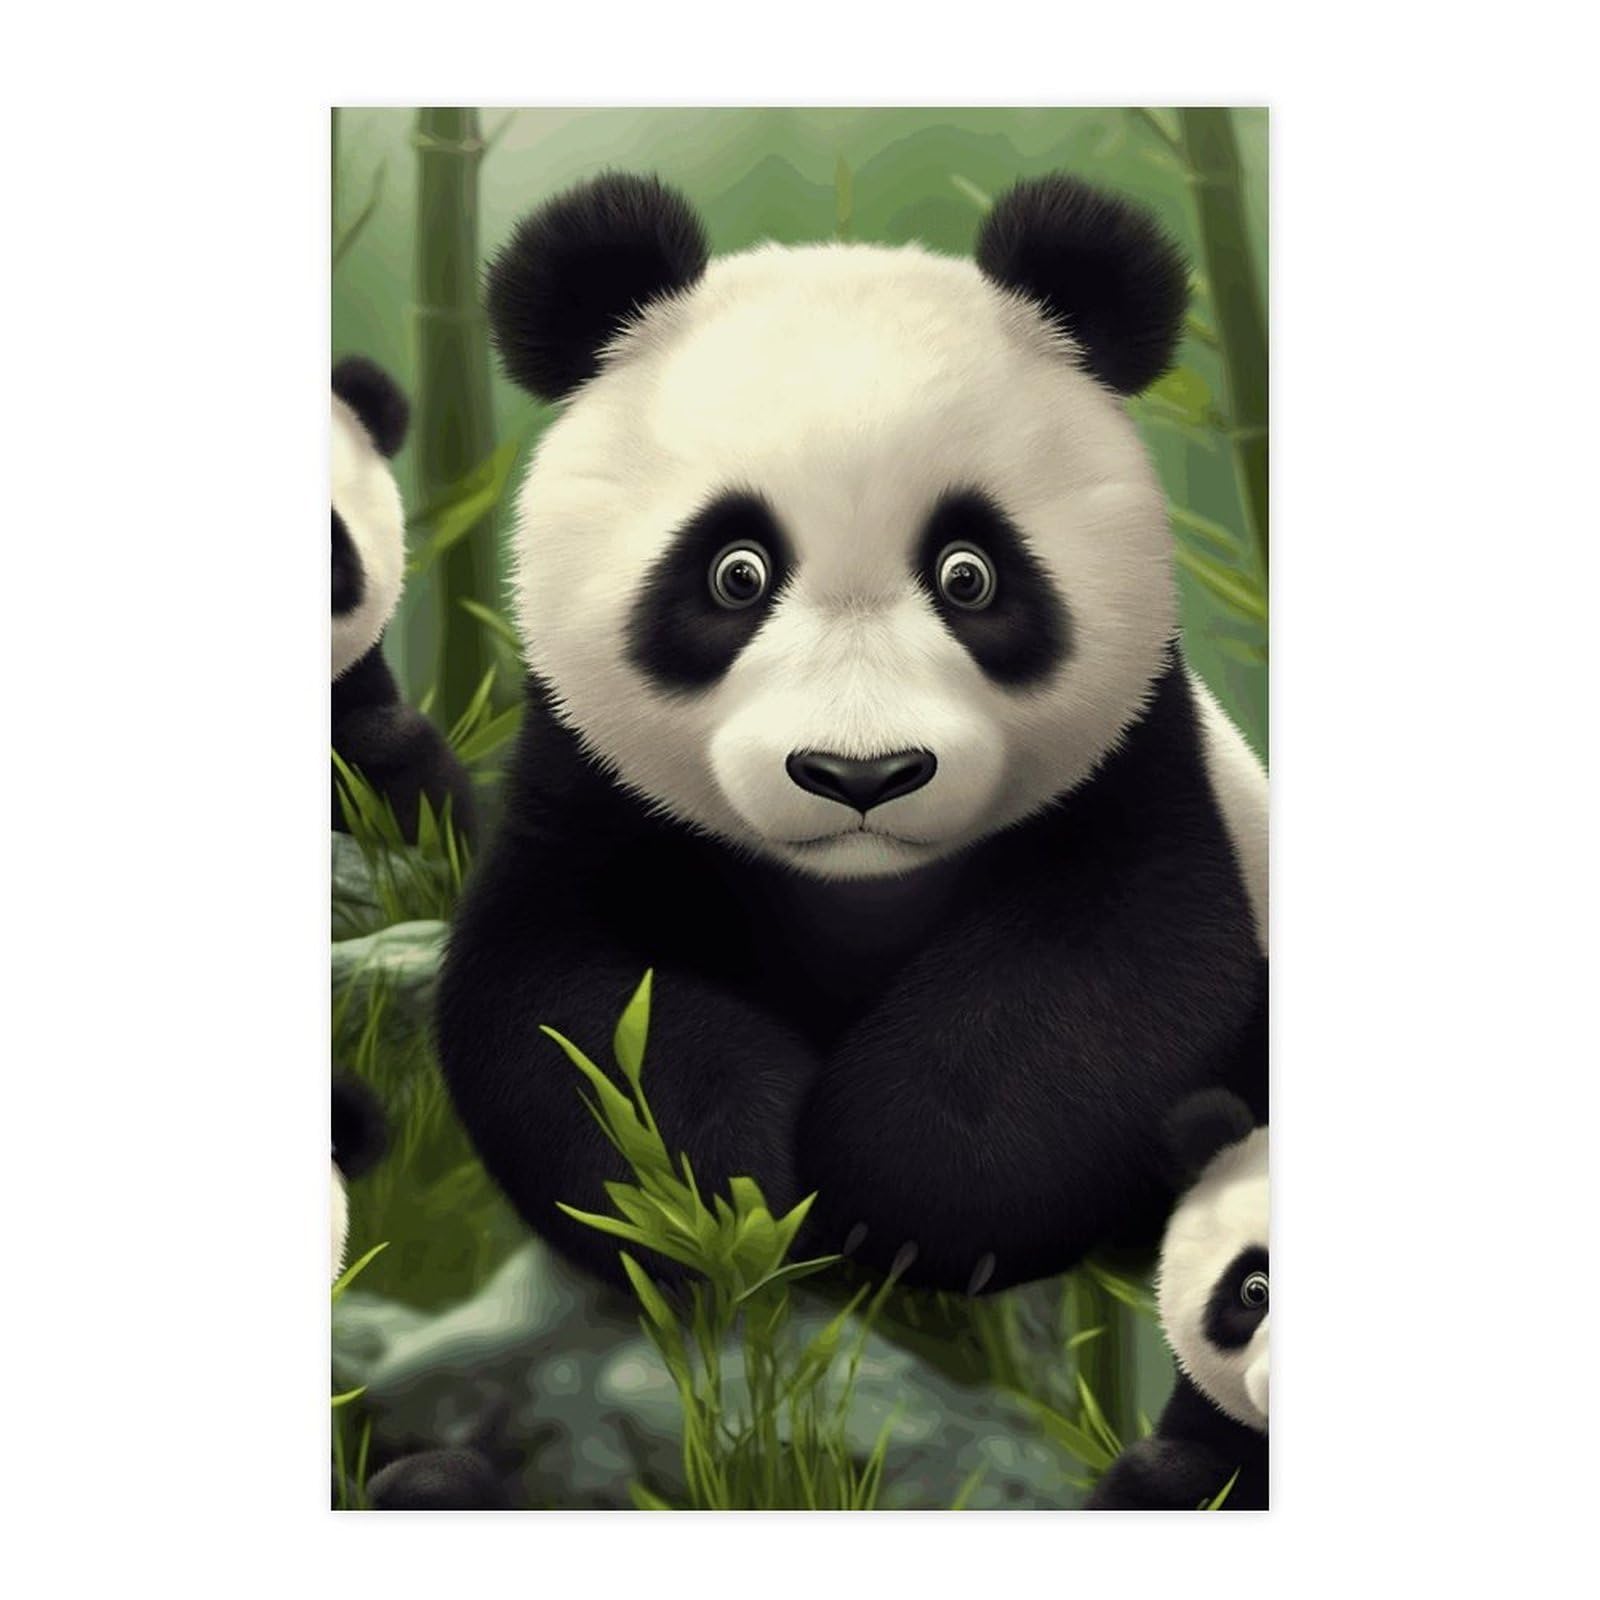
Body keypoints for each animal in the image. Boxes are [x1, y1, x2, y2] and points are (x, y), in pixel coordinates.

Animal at [436, 171, 1268, 1295]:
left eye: (969, 574)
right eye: (734, 572)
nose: (859, 774)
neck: (861, 892)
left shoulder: (1136, 767)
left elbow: (1117, 970)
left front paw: (905, 1200)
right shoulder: (588, 782)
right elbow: (568, 1003)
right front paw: (721, 1199)